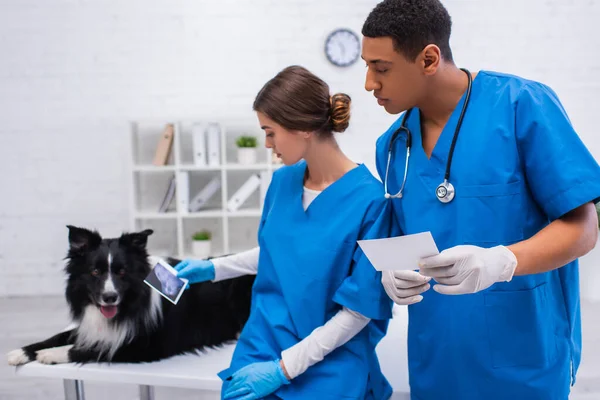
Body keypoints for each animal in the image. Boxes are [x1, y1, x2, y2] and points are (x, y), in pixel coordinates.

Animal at [7, 225, 255, 366]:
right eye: (95, 271)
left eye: (122, 272)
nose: (109, 297)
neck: (131, 303)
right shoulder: (92, 326)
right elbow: (60, 336)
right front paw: (21, 352)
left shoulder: (147, 346)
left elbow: (91, 349)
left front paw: (50, 354)